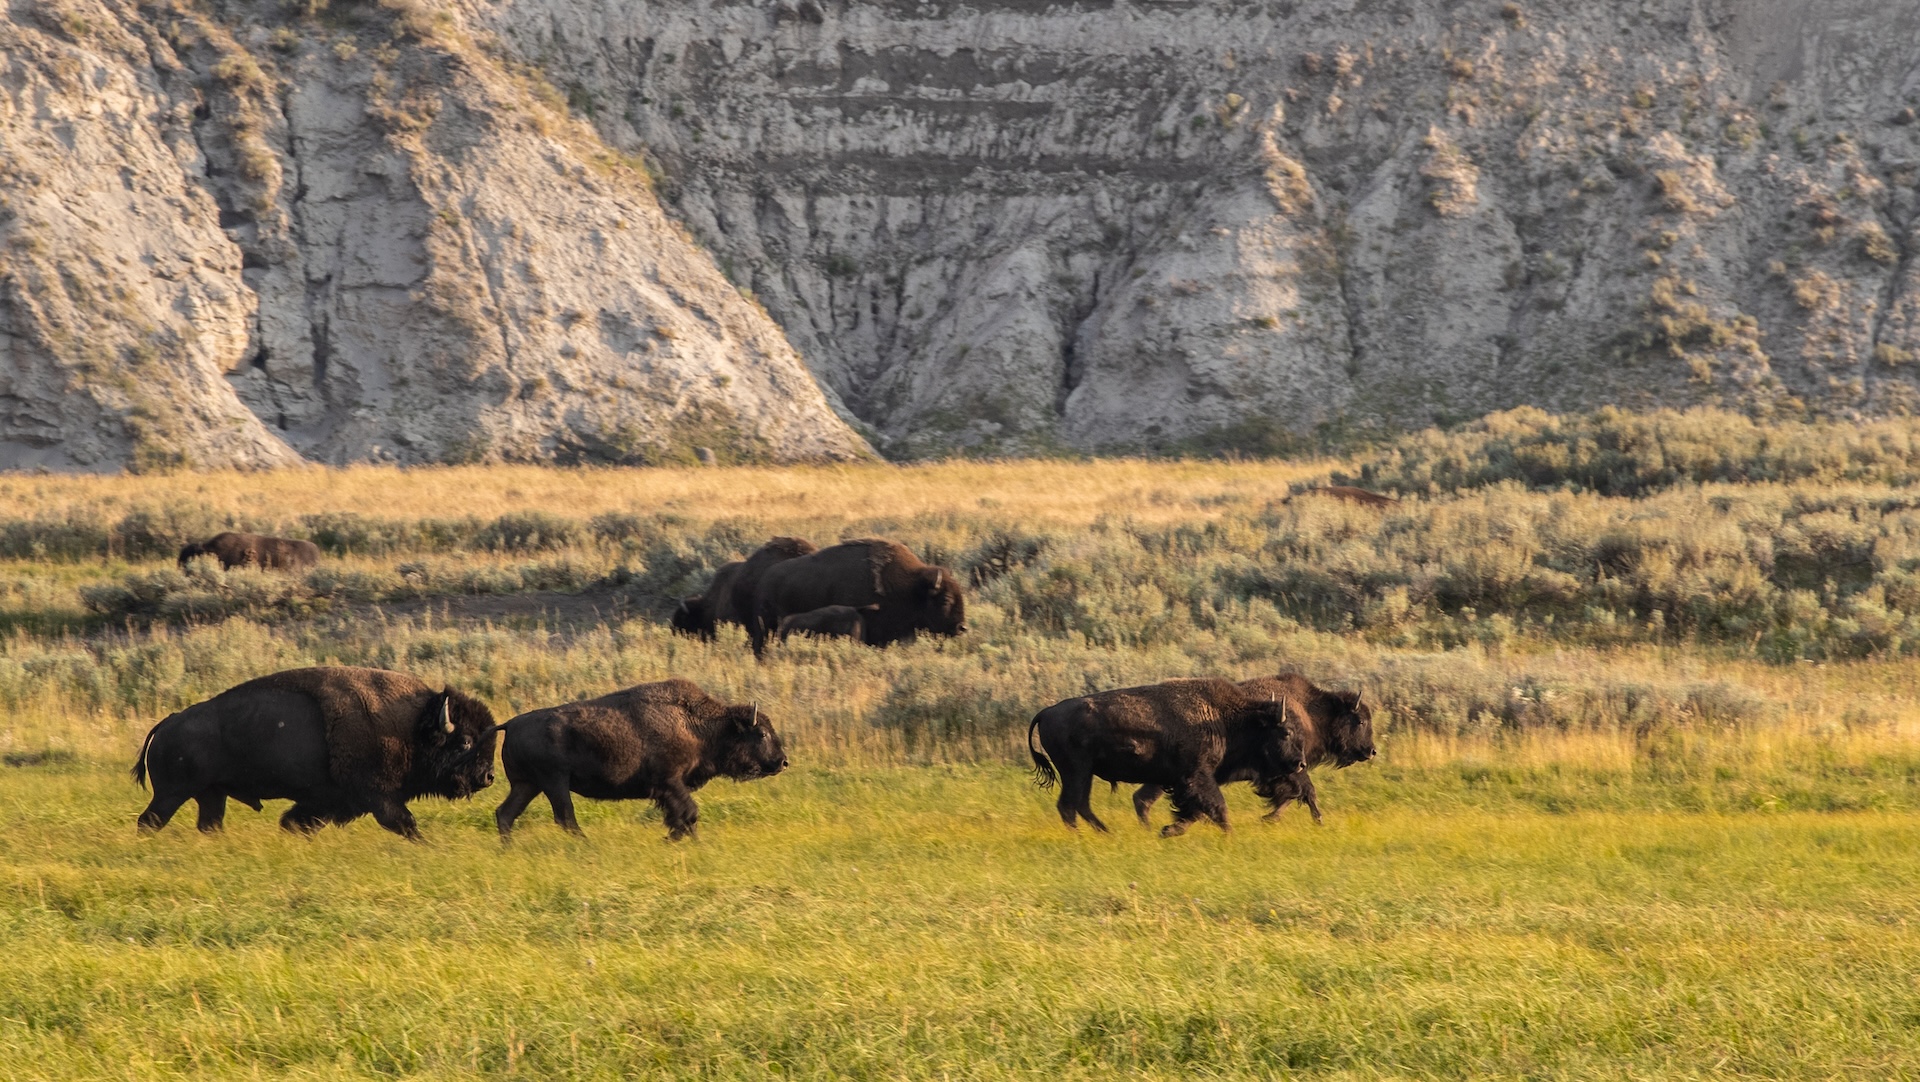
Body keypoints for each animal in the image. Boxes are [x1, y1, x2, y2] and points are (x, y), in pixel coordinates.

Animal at [132, 666, 498, 839]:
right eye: (465, 742)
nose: (489, 776)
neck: (411, 724)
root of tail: (168, 723)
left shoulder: (325, 801)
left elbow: (295, 823)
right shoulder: (377, 796)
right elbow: (404, 823)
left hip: (211, 795)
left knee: (208, 823)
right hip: (172, 794)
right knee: (149, 821)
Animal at [494, 678, 787, 841]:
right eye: (761, 733)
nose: (783, 762)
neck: (697, 726)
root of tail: (510, 723)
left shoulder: (669, 789)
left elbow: (682, 818)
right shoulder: (670, 782)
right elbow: (689, 814)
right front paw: (673, 840)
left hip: (528, 785)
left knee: (506, 814)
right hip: (554, 783)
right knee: (566, 818)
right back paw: (588, 846)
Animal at [1027, 678, 1306, 836]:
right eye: (1285, 732)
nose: (1300, 763)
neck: (1224, 719)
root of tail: (1047, 711)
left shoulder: (1182, 781)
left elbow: (1195, 812)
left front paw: (1167, 831)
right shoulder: (1196, 776)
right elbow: (1217, 807)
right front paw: (1230, 835)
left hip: (1084, 774)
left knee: (1079, 805)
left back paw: (1107, 834)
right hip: (1076, 771)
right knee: (1069, 806)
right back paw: (1084, 838)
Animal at [1129, 673, 1375, 825]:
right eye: (1361, 721)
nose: (1372, 751)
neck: (1309, 711)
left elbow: (1293, 794)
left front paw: (1269, 818)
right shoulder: (1293, 767)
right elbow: (1306, 792)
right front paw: (1317, 822)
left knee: (1141, 798)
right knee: (1143, 799)